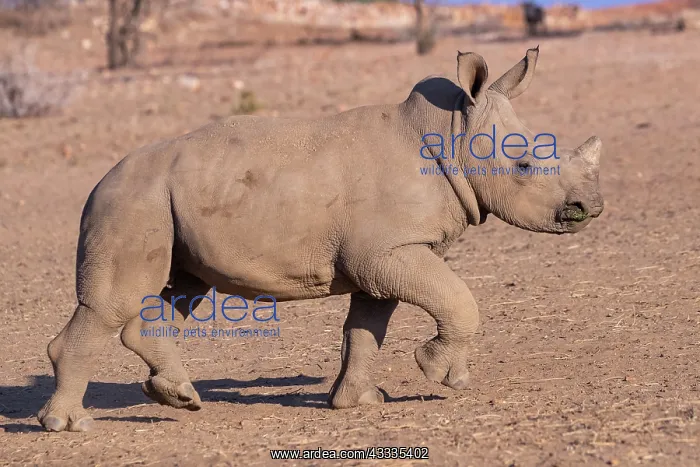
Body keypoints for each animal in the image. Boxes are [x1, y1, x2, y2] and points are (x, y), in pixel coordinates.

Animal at [38, 47, 603, 432]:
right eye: (525, 165)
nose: (589, 209)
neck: (452, 132)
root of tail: (100, 179)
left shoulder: (384, 256)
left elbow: (367, 327)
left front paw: (359, 403)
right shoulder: (387, 252)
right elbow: (458, 300)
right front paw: (441, 375)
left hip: (162, 200)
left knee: (180, 291)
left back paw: (179, 398)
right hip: (132, 199)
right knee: (115, 302)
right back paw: (70, 426)